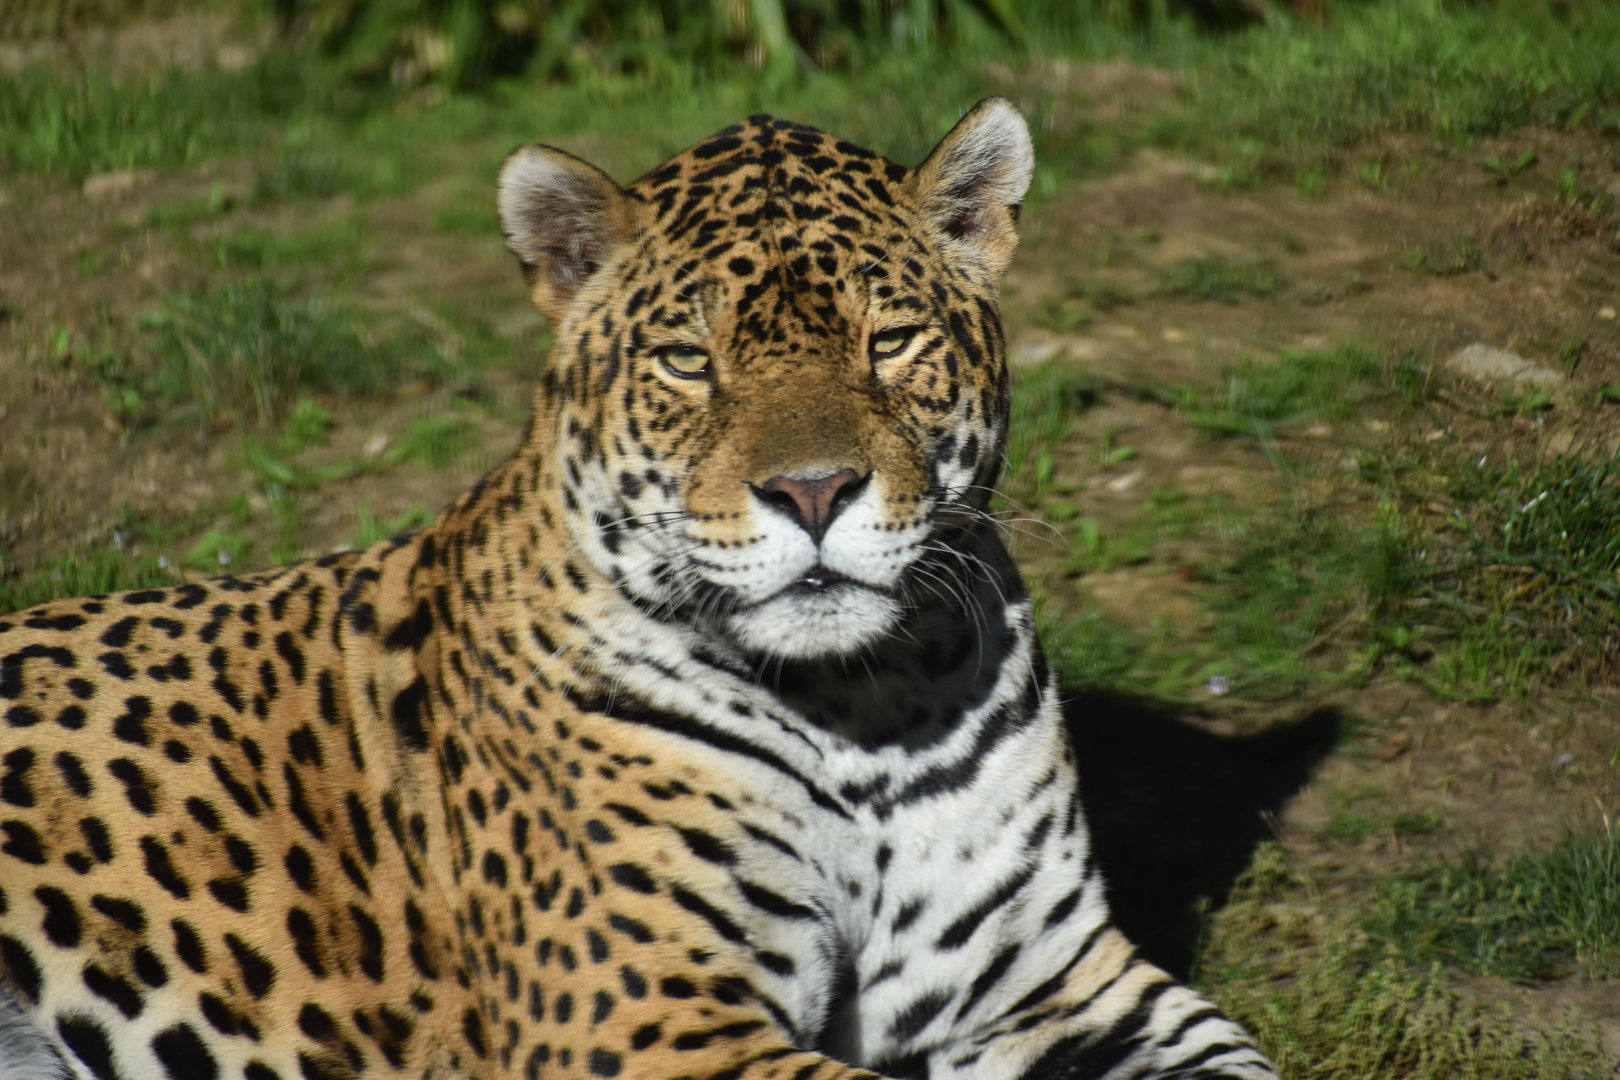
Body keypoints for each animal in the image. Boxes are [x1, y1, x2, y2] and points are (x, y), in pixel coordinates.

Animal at [0, 98, 1279, 1080]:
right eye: (686, 363)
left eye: (891, 342)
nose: (814, 490)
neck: (863, 705)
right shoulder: (644, 1019)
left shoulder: (1047, 982)